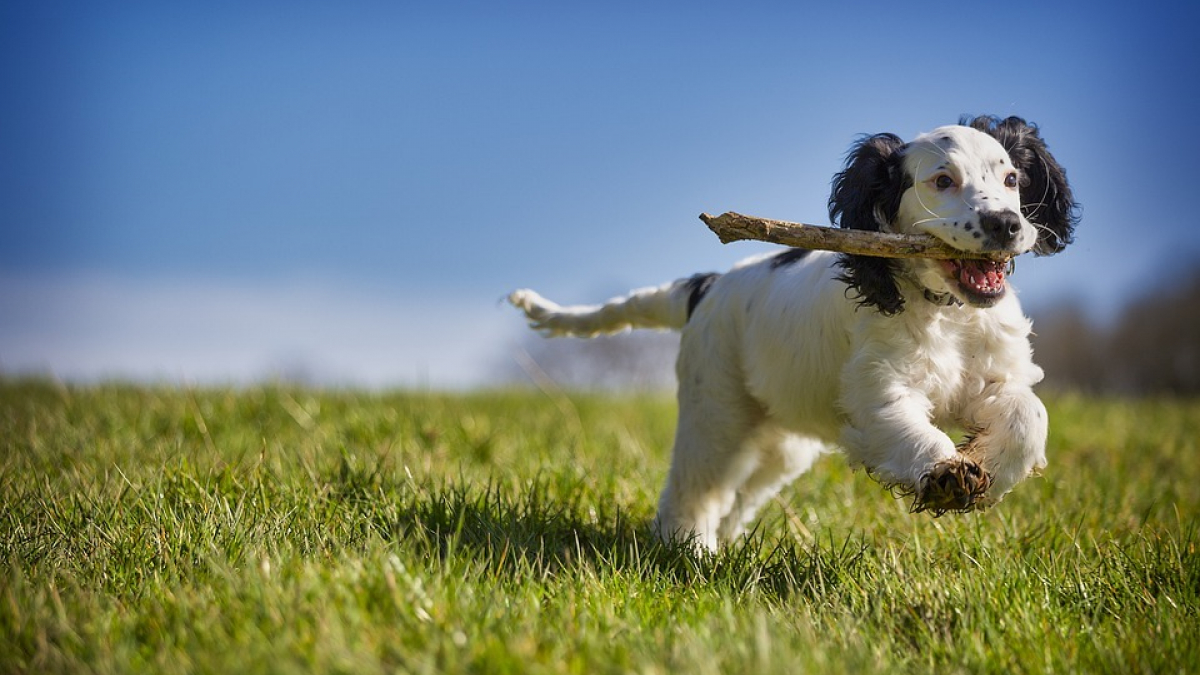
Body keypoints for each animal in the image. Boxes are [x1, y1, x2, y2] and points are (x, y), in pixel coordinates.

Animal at [506, 114, 1080, 547]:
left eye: (1011, 180)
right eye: (943, 181)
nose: (1007, 225)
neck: (946, 311)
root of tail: (707, 285)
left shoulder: (996, 377)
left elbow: (1029, 417)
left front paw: (987, 468)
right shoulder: (877, 390)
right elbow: (909, 428)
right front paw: (946, 475)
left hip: (781, 443)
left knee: (739, 496)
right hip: (716, 411)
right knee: (694, 488)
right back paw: (688, 550)